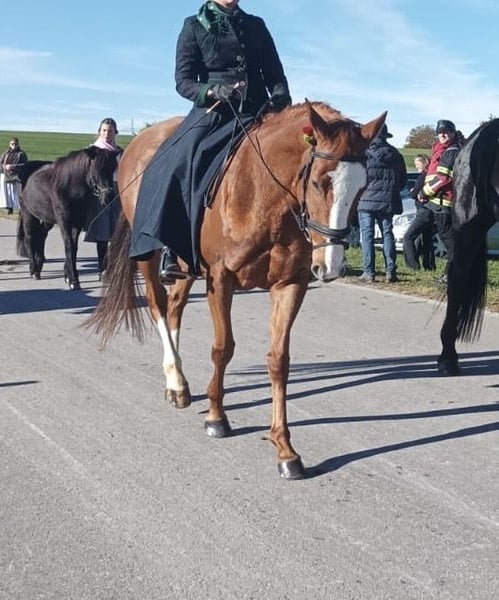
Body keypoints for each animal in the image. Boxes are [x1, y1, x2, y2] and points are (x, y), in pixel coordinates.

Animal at [16, 147, 116, 290]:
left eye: (113, 168)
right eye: (97, 168)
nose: (109, 196)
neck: (70, 187)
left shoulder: (77, 223)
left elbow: (74, 248)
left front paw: (70, 277)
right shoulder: (64, 221)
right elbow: (68, 246)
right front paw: (73, 280)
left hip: (45, 220)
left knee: (41, 238)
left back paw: (39, 265)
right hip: (28, 214)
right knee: (29, 239)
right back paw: (34, 270)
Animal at [86, 100, 386, 478]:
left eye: (362, 188)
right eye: (319, 183)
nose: (330, 266)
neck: (266, 195)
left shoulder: (290, 284)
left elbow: (279, 361)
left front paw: (284, 448)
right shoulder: (220, 278)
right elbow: (222, 348)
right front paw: (217, 417)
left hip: (185, 266)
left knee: (174, 306)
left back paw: (176, 382)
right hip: (149, 255)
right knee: (157, 305)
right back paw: (176, 381)